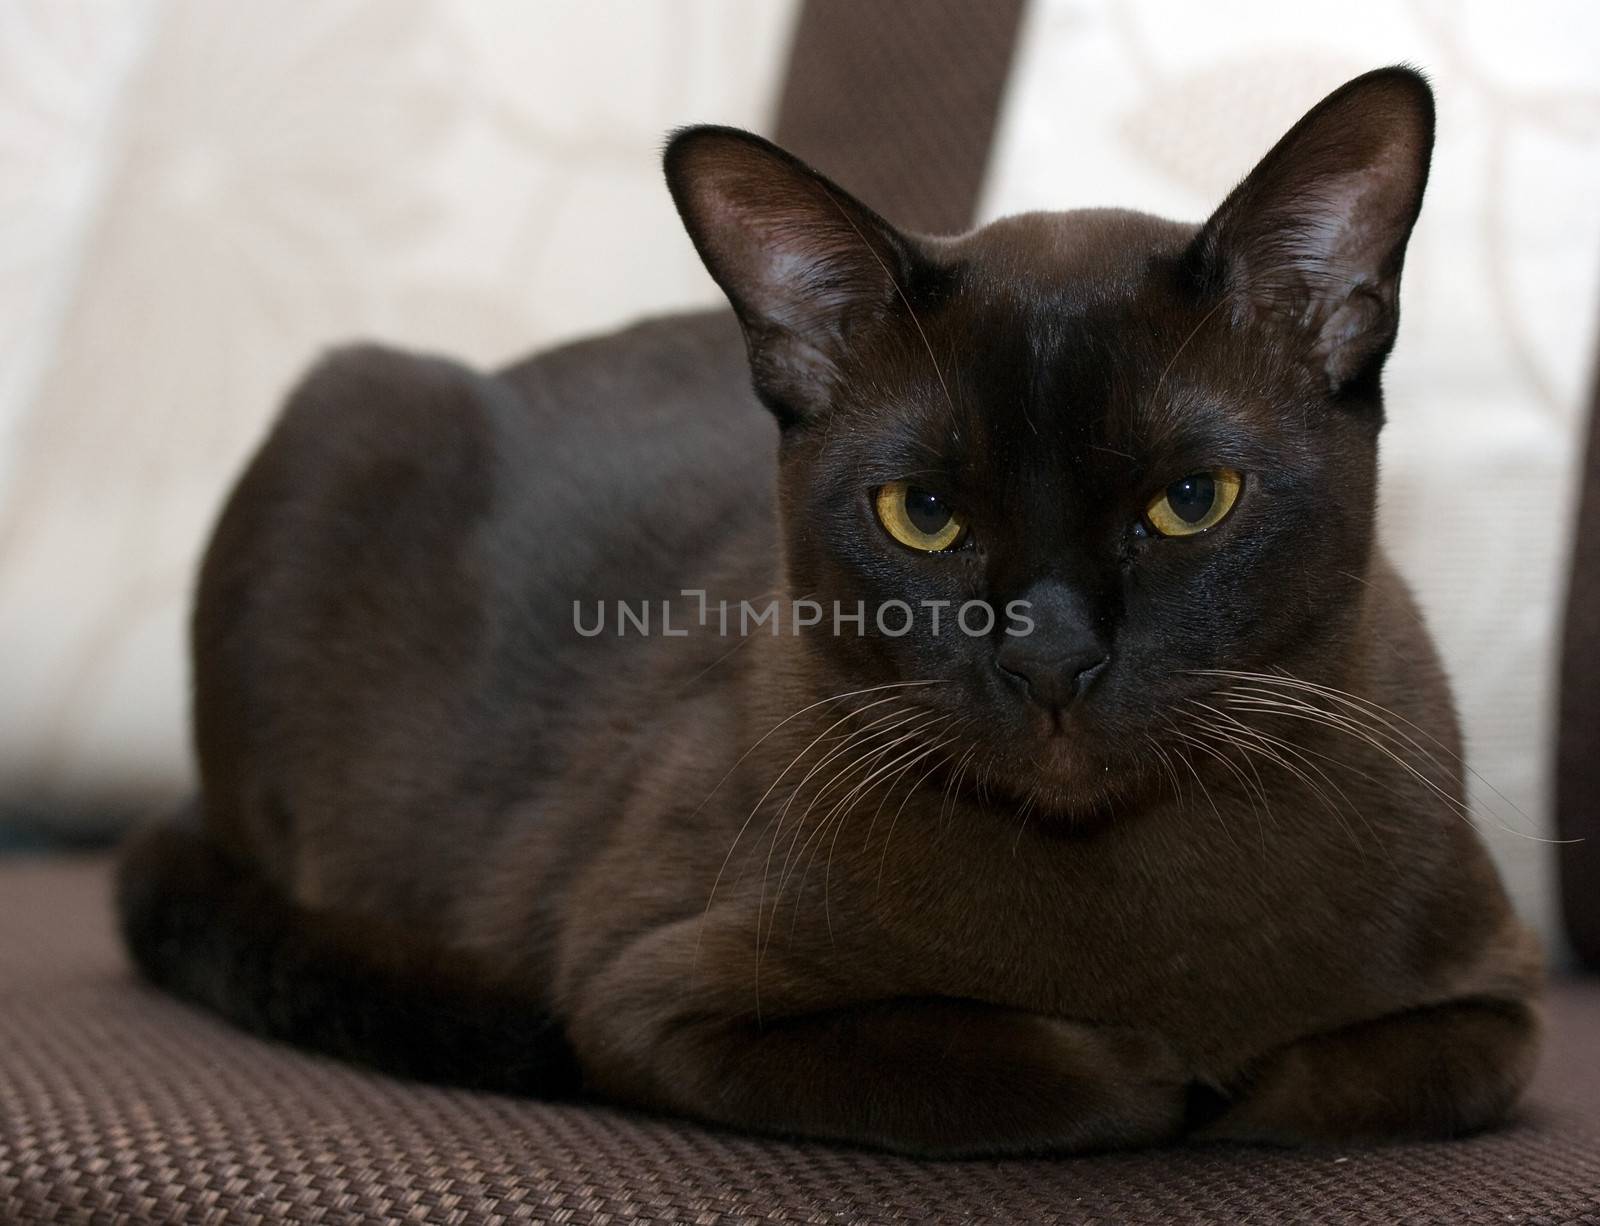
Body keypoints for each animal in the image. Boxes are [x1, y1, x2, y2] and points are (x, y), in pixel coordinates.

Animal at [118, 69, 1542, 1165]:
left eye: (1191, 500)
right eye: (923, 513)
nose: (1051, 655)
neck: (1134, 902)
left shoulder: (1498, 1008)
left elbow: (1316, 1081)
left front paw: (1225, 1076)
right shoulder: (649, 997)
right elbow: (1040, 1071)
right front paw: (1160, 1071)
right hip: (345, 411)